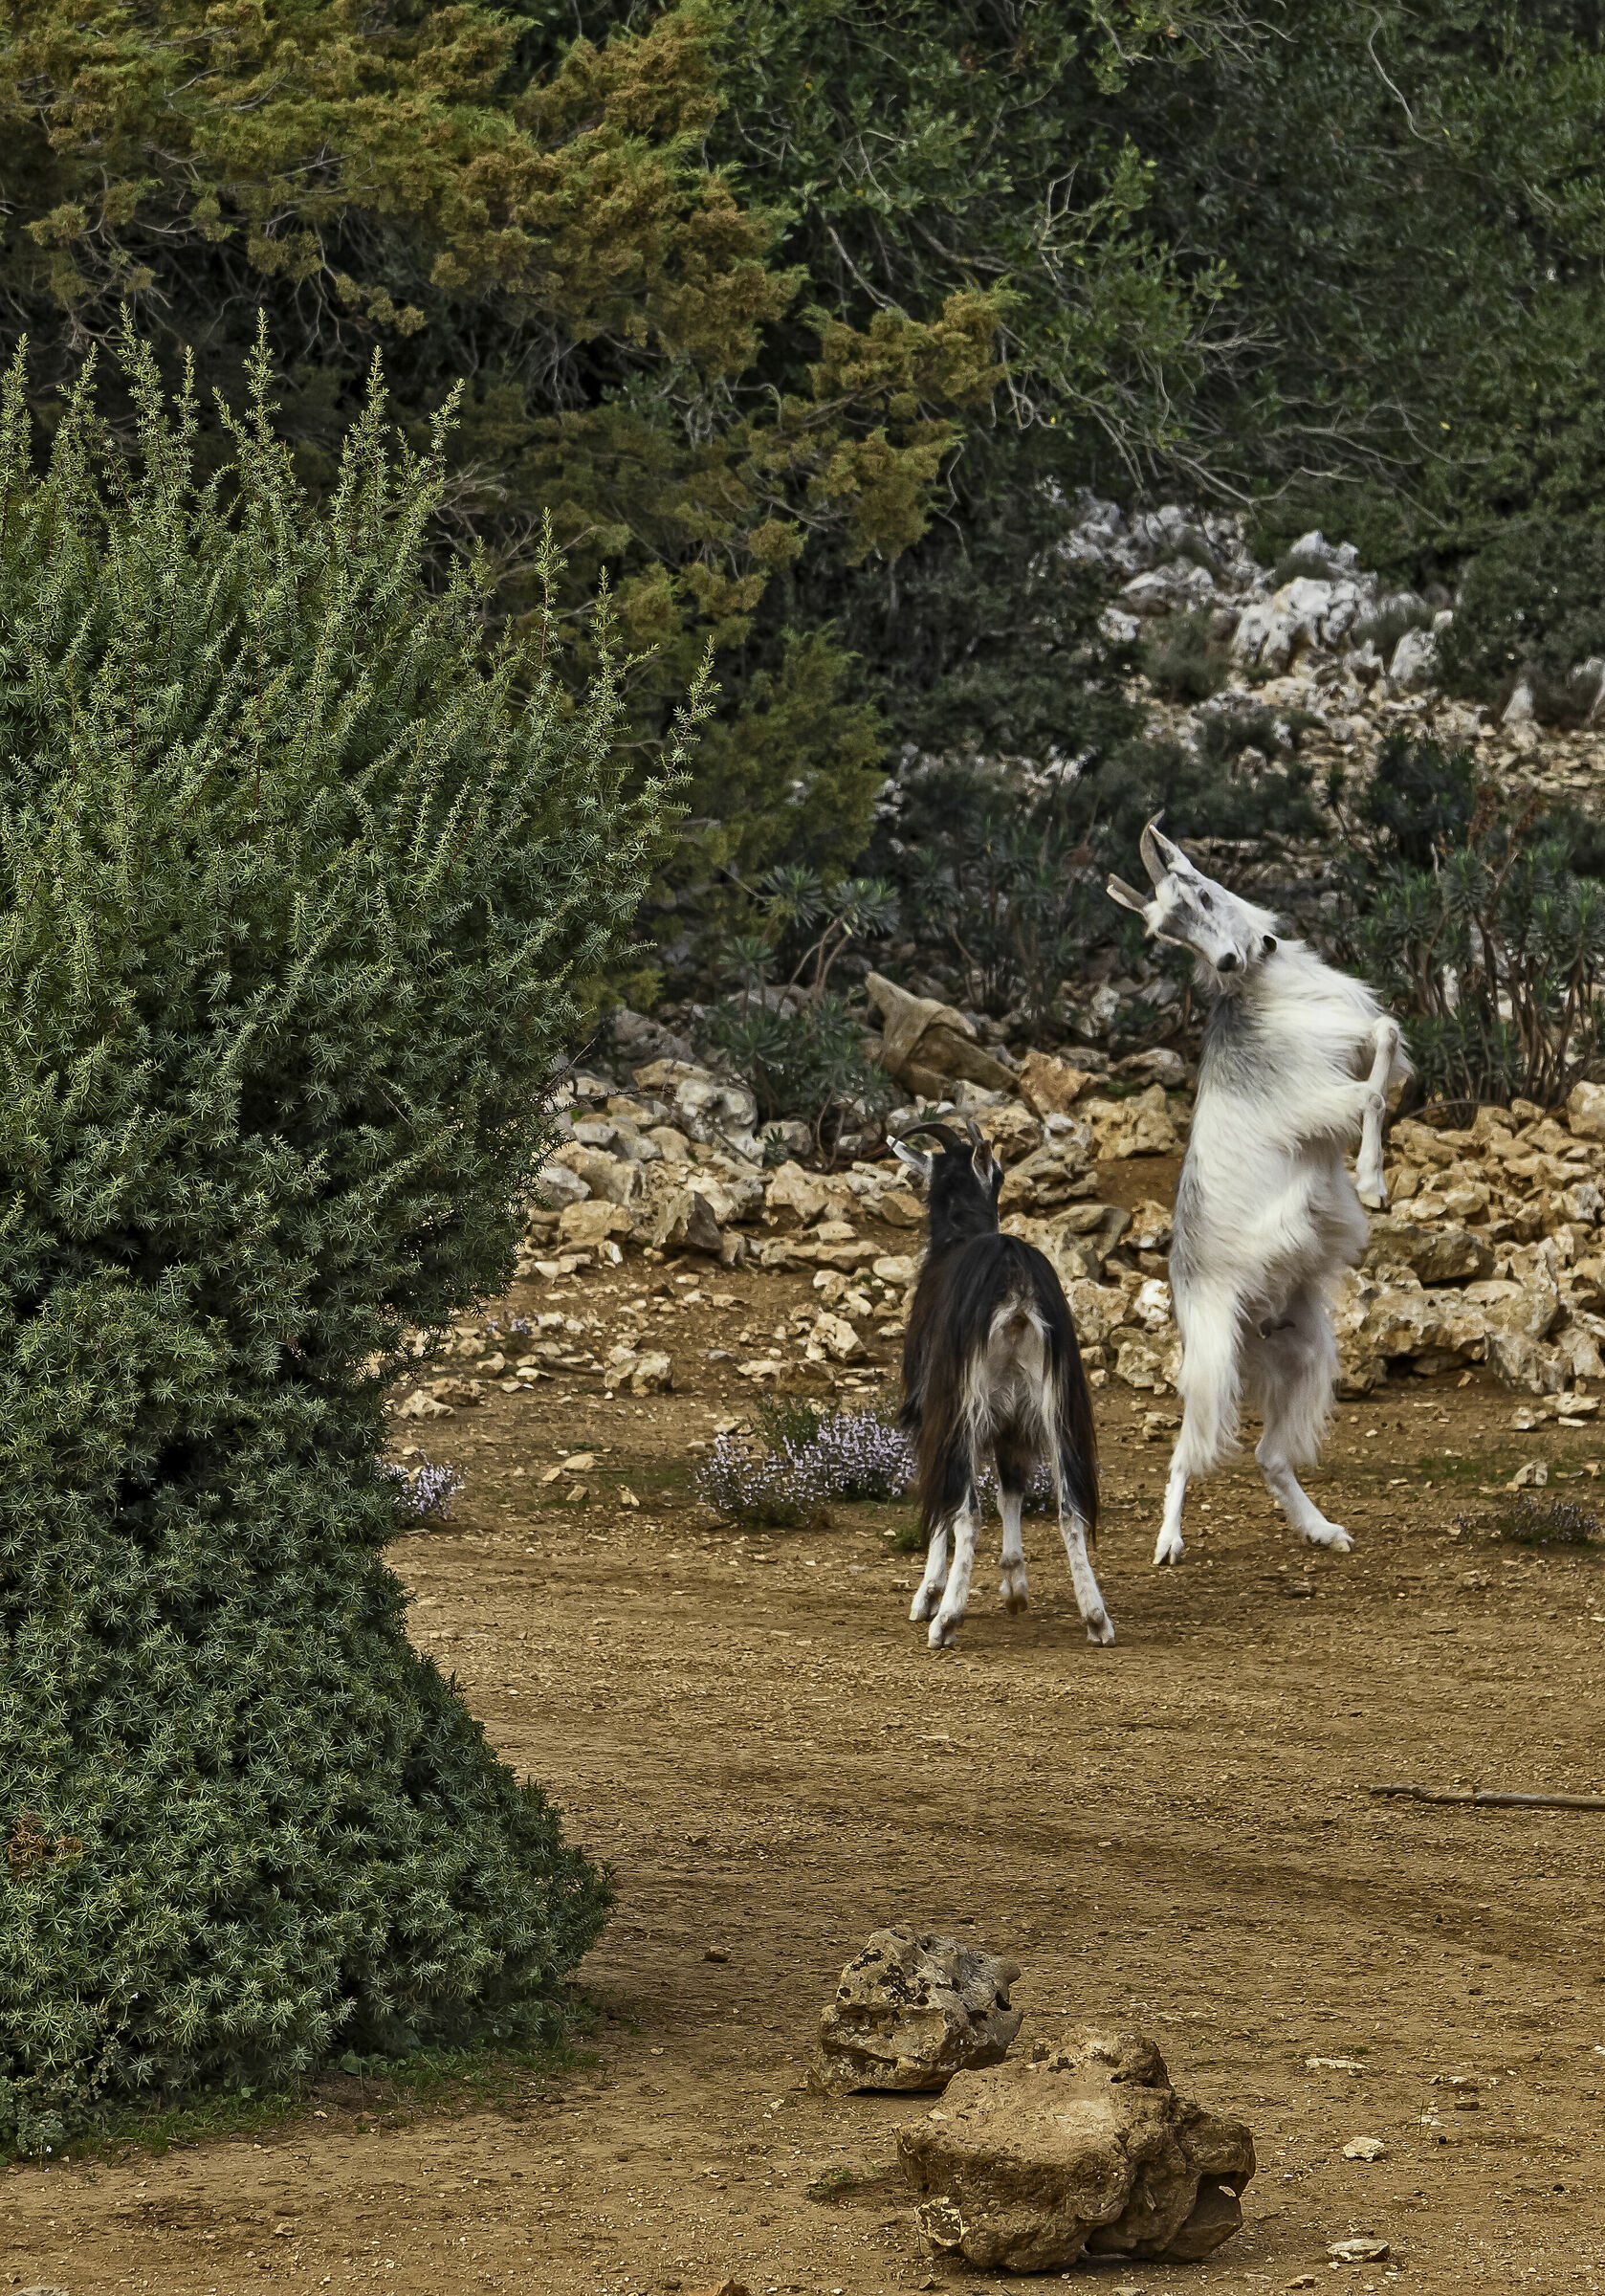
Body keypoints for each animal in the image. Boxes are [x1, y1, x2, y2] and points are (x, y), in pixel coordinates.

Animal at [890, 1119, 1114, 1649]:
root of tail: (1014, 1284)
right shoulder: (1013, 1419)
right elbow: (1011, 1491)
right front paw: (1015, 1584)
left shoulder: (932, 1415)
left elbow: (943, 1501)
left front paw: (928, 1595)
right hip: (1057, 1407)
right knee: (1070, 1507)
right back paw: (1096, 1618)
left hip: (965, 1405)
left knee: (967, 1512)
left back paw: (946, 1621)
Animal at [1107, 818, 1411, 1568]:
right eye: (1165, 932)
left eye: (1201, 893)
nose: (1225, 962)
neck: (1269, 990)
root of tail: (1254, 1331)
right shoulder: (1316, 1097)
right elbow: (1370, 1093)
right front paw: (1371, 1182)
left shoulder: (1348, 1046)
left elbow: (1385, 1037)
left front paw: (1373, 1177)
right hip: (1213, 1362)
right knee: (1186, 1454)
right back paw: (1168, 1544)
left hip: (1306, 1356)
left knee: (1270, 1457)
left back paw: (1323, 1531)